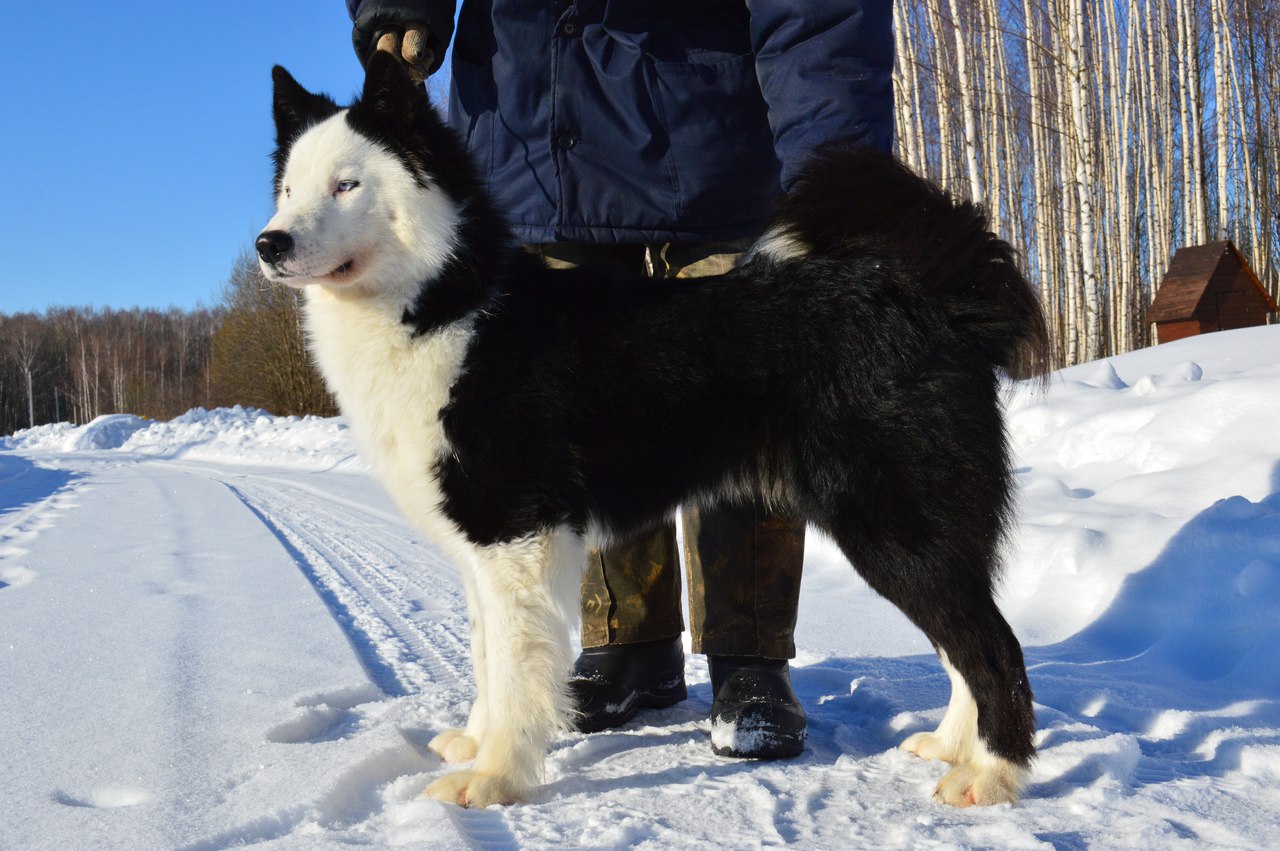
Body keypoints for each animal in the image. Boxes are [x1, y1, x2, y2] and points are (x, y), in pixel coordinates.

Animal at [259, 56, 1049, 808]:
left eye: (346, 185)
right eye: (289, 190)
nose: (269, 243)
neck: (450, 301)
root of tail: (933, 297)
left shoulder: (516, 532)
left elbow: (513, 670)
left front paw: (494, 777)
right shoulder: (483, 546)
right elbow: (488, 657)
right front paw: (477, 743)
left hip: (894, 525)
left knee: (994, 649)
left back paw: (992, 775)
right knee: (963, 645)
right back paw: (952, 746)